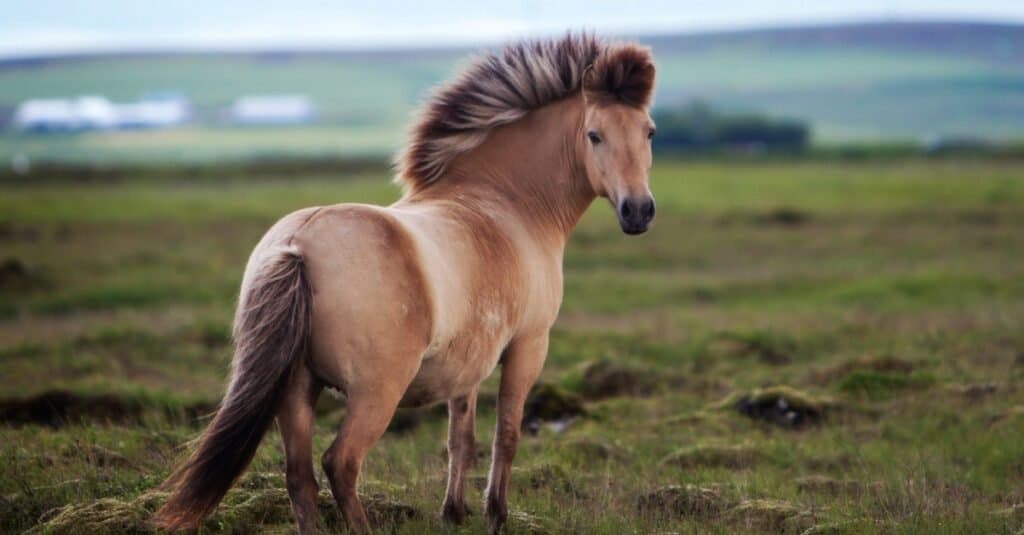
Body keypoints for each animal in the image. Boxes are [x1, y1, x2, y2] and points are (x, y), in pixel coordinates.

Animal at [155, 34, 659, 532]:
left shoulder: (468, 363)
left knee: (299, 477)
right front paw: (495, 515)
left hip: (296, 389)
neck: (504, 204)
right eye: (594, 135)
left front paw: (453, 513)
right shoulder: (528, 346)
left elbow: (461, 437)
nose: (638, 211)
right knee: (341, 463)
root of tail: (298, 244)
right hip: (374, 393)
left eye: (649, 131)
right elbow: (507, 435)